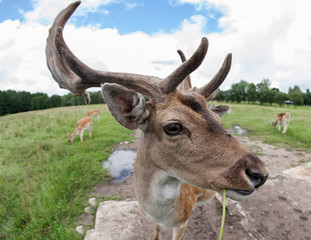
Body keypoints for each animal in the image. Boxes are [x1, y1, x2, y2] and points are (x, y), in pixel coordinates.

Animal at [45, 1, 268, 238]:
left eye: (217, 119)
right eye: (173, 126)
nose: (259, 173)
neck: (162, 211)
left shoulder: (183, 221)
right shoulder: (156, 221)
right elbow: (157, 234)